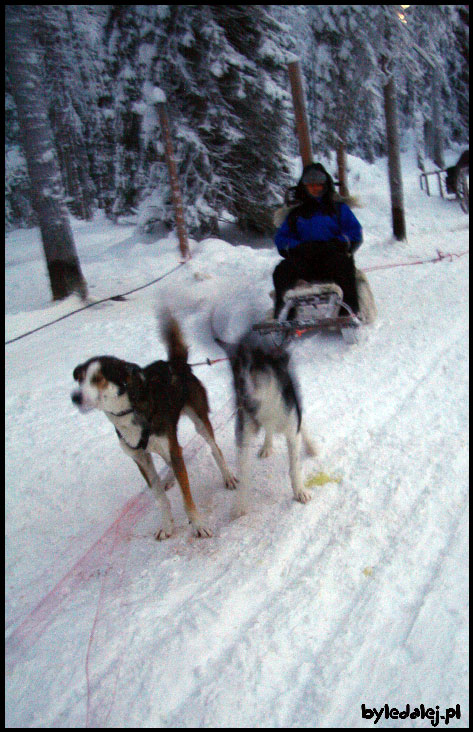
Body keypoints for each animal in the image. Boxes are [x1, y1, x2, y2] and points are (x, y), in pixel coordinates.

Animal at [70, 312, 236, 540]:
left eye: (98, 379)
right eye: (80, 379)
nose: (75, 397)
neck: (129, 409)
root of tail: (176, 364)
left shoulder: (169, 448)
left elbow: (187, 498)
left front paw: (198, 524)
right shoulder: (141, 459)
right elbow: (159, 496)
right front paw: (167, 525)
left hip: (200, 422)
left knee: (214, 449)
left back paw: (227, 476)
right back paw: (169, 478)